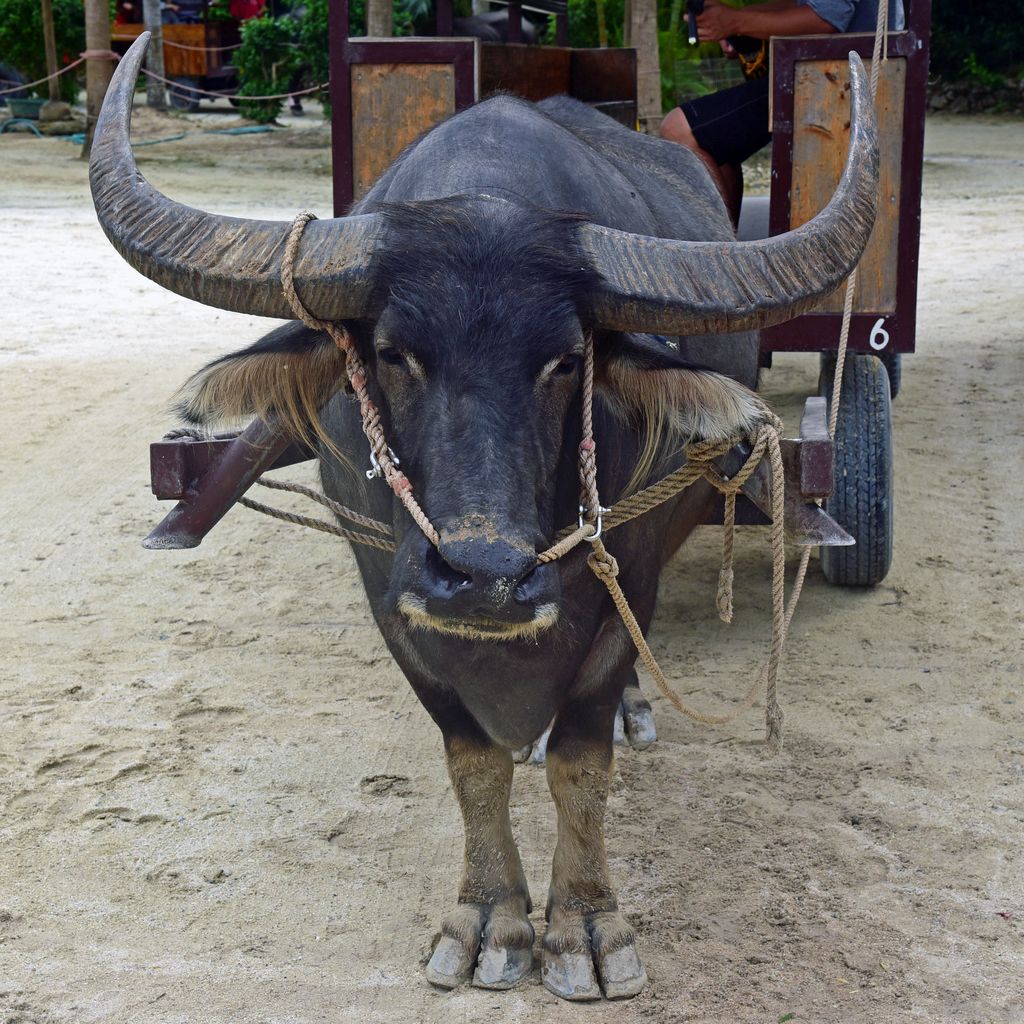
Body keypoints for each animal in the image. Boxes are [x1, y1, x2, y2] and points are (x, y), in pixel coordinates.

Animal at [90, 36, 872, 1003]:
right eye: (393, 353)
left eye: (565, 360)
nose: (483, 577)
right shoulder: (390, 597)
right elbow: (472, 762)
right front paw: (489, 918)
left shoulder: (627, 578)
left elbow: (582, 762)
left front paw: (585, 927)